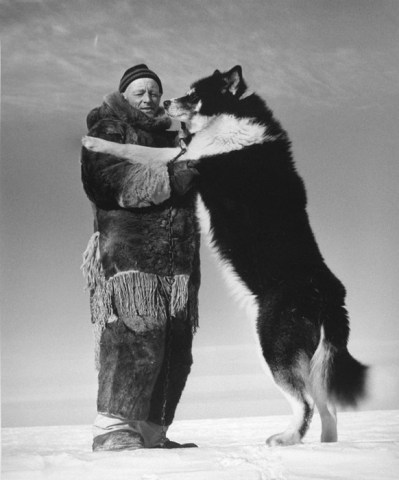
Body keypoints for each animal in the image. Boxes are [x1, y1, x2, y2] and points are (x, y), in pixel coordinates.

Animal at [81, 65, 368, 444]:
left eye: (194, 94)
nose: (167, 102)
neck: (230, 113)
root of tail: (330, 291)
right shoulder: (186, 158)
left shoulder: (189, 159)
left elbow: (137, 149)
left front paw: (94, 142)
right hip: (312, 355)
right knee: (326, 407)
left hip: (275, 344)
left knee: (304, 402)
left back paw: (285, 438)